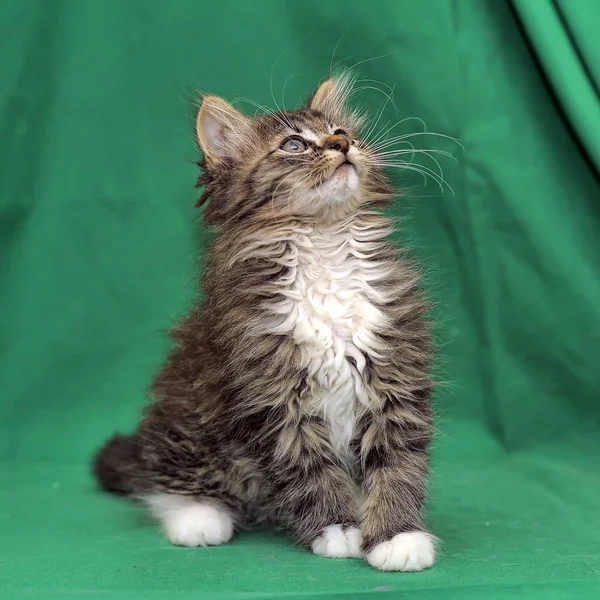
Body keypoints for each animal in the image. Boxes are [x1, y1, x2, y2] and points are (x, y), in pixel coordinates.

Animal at [94, 72, 436, 568]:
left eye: (342, 132)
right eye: (293, 145)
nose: (342, 144)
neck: (324, 246)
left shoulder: (394, 375)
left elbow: (397, 463)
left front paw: (397, 536)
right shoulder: (272, 397)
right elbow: (308, 467)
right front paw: (338, 529)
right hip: (186, 421)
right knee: (160, 478)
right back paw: (198, 516)